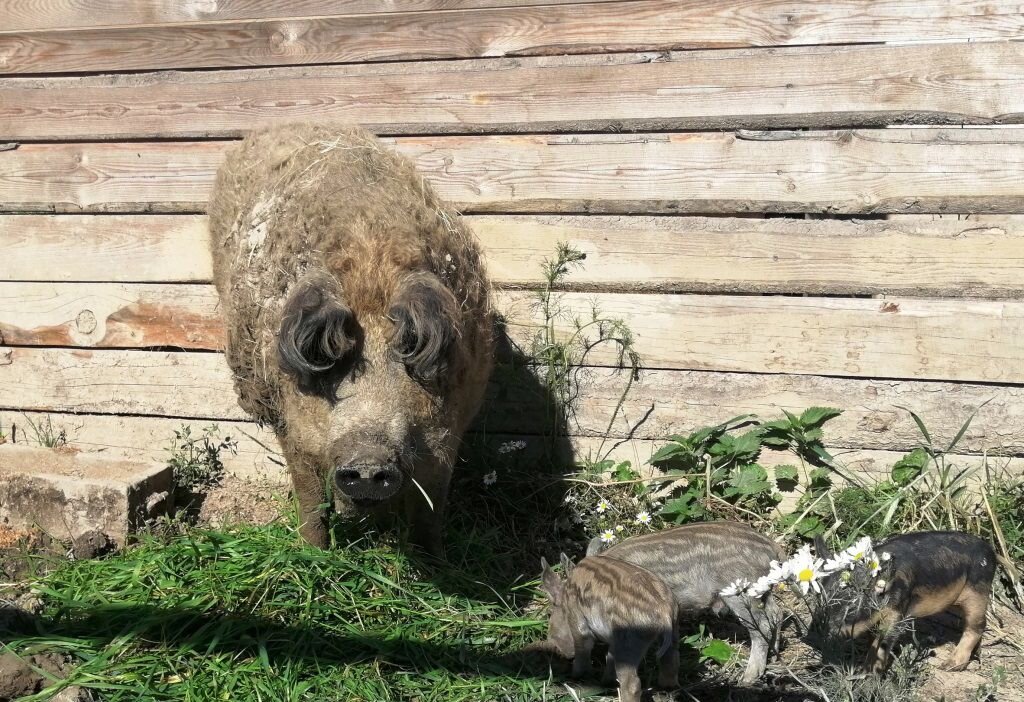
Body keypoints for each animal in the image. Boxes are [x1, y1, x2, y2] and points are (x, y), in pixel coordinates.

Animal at [205, 123, 493, 556]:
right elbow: (310, 496)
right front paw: (314, 554)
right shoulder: (294, 427)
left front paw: (433, 560)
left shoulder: (451, 424)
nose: (369, 463)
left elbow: (430, 508)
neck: (371, 262)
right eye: (331, 357)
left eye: (407, 351)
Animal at [540, 556, 675, 702]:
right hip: (673, 630)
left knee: (632, 684)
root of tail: (664, 610)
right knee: (670, 661)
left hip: (628, 644)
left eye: (550, 615)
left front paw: (575, 677)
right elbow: (609, 657)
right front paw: (605, 682)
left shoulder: (578, 622)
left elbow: (583, 651)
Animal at [593, 519, 782, 683]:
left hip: (740, 593)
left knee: (761, 626)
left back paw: (748, 678)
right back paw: (774, 655)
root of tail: (772, 546)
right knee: (775, 614)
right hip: (762, 591)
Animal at [827, 532, 995, 675]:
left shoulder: (898, 609)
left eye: (852, 609)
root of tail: (990, 549)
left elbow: (883, 641)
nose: (829, 633)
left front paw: (869, 674)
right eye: (825, 605)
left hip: (978, 590)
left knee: (978, 625)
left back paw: (949, 666)